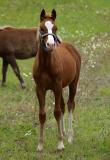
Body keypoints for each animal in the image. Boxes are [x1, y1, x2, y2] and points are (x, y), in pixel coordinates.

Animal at [32, 9, 81, 151]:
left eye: (55, 28)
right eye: (42, 28)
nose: (51, 44)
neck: (46, 65)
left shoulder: (57, 87)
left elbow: (57, 112)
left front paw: (60, 144)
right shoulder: (40, 89)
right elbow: (42, 115)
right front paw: (40, 145)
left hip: (72, 84)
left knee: (70, 105)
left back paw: (69, 136)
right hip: (61, 87)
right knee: (64, 106)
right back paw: (64, 133)